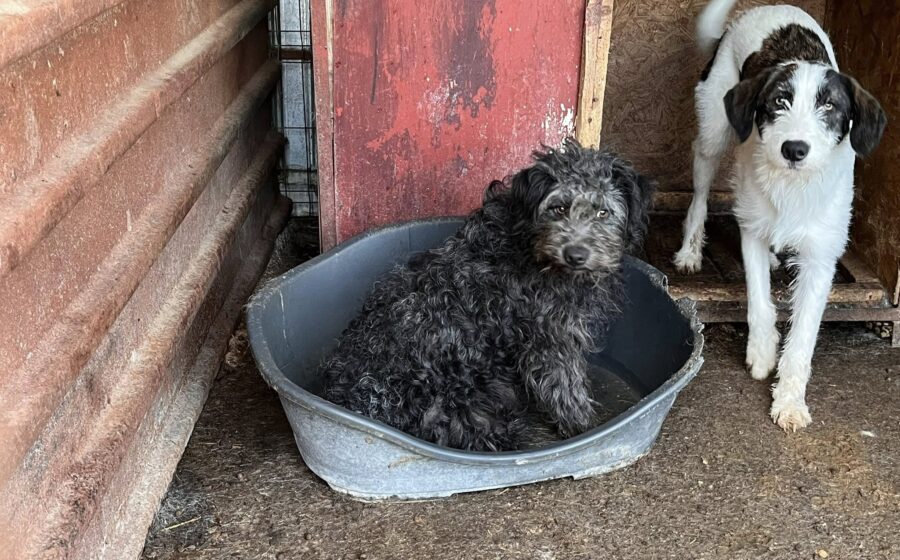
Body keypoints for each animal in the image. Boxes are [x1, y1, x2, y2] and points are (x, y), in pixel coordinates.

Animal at [322, 139, 655, 451]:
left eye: (603, 211)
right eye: (559, 208)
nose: (576, 254)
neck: (531, 247)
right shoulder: (549, 339)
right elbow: (566, 389)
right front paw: (585, 429)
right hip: (466, 402)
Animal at [673, 0, 886, 431]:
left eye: (829, 106)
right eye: (778, 102)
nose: (794, 148)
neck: (793, 185)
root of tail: (767, 7)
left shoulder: (822, 258)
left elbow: (803, 336)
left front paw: (789, 400)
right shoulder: (751, 230)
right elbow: (759, 301)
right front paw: (762, 353)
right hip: (714, 132)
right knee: (701, 192)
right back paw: (690, 249)